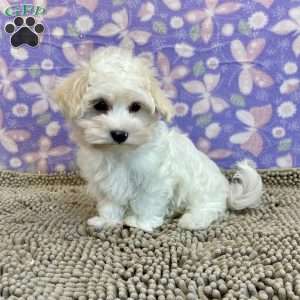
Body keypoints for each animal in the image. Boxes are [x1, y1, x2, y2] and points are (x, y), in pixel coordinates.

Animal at [54, 46, 262, 232]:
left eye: (135, 107)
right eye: (100, 105)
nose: (120, 134)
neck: (120, 153)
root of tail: (226, 192)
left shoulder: (155, 178)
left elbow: (146, 200)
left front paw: (139, 222)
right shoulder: (105, 181)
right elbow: (109, 202)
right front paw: (107, 221)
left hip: (202, 190)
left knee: (210, 208)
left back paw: (193, 220)